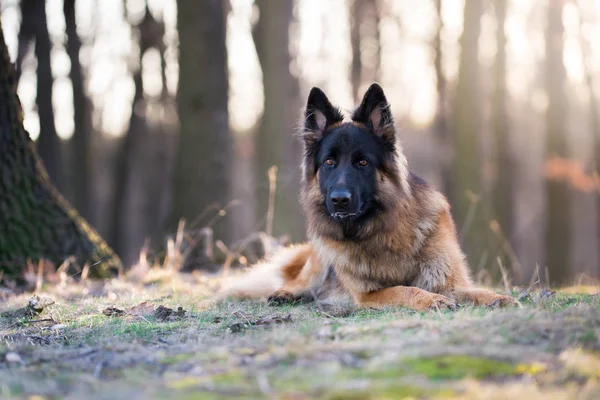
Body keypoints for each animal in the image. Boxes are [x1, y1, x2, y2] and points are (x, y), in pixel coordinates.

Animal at [218, 83, 516, 310]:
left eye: (362, 162)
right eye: (329, 162)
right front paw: (433, 301)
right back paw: (284, 294)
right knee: (297, 283)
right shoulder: (368, 294)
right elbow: (406, 289)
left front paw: (498, 297)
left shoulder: (447, 280)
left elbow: (473, 291)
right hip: (317, 264)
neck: (382, 229)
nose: (339, 200)